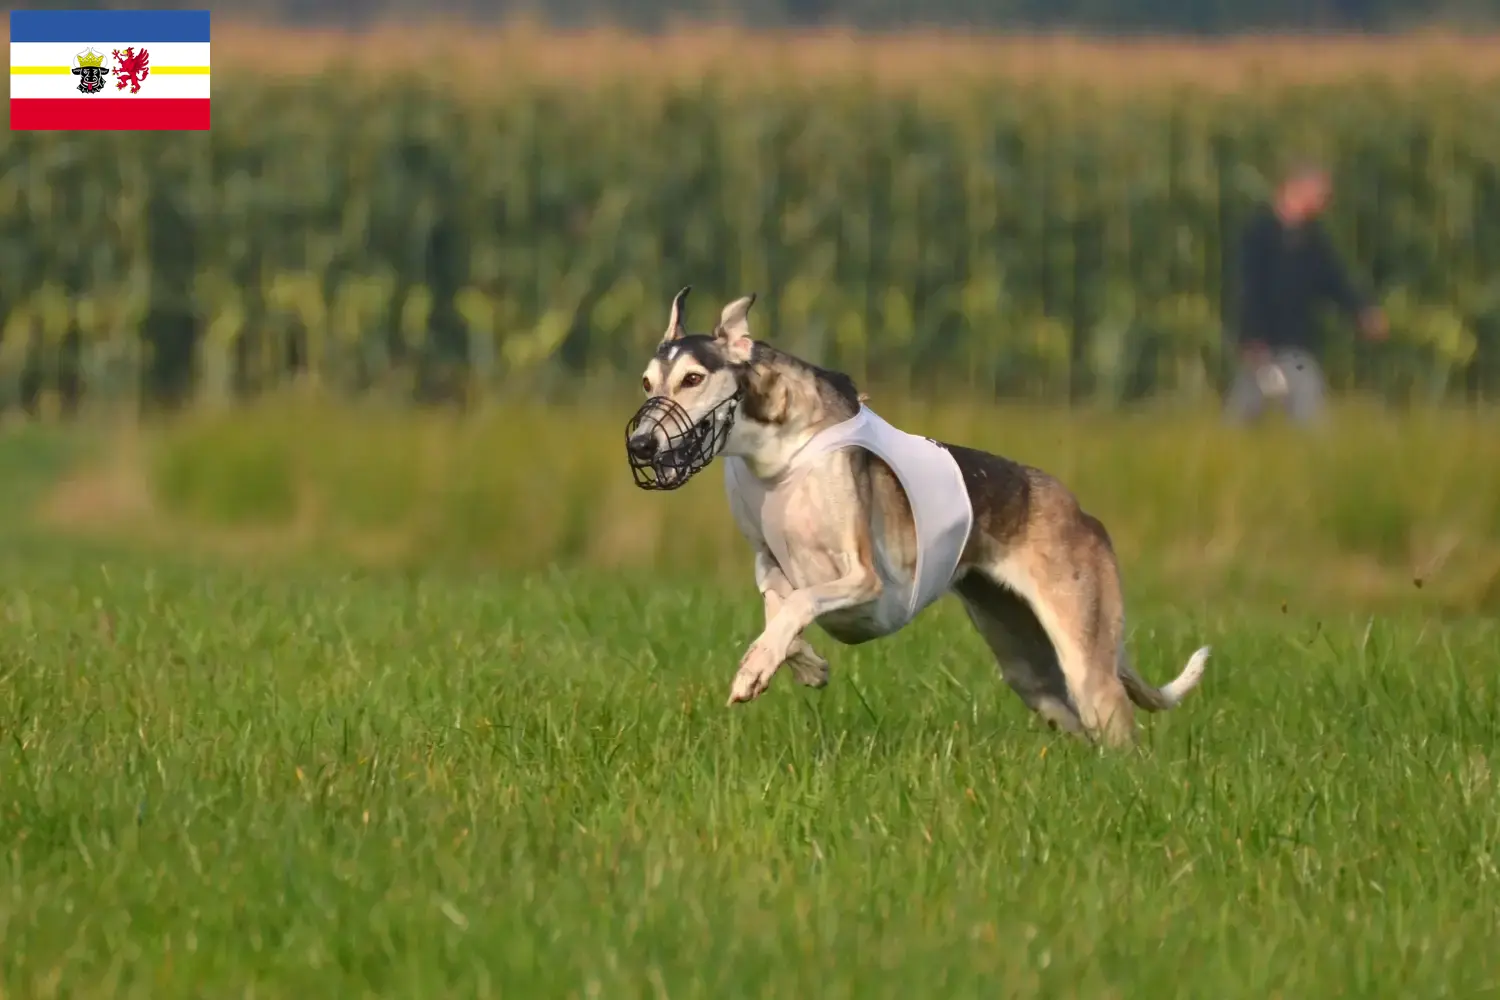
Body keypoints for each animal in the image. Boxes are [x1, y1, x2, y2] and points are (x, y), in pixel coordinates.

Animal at [627, 284, 1212, 746]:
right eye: (647, 382)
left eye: (693, 379)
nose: (639, 444)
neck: (779, 451)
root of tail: (1081, 511)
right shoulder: (769, 561)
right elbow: (780, 607)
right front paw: (802, 664)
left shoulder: (863, 577)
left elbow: (801, 603)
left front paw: (754, 668)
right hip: (1028, 665)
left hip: (1085, 658)